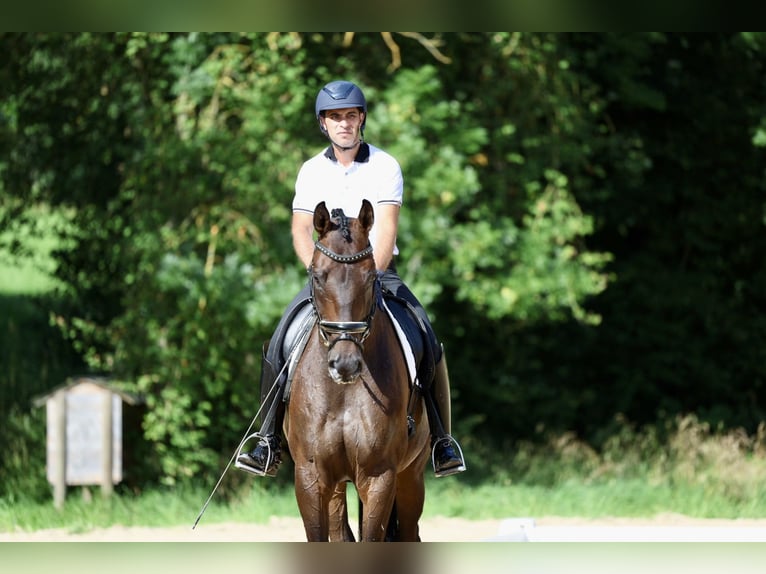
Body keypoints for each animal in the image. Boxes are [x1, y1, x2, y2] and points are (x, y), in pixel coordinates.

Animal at [284, 200, 436, 544]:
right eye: (318, 277)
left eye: (369, 278)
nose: (345, 364)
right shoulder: (311, 476)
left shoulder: (380, 476)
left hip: (411, 476)